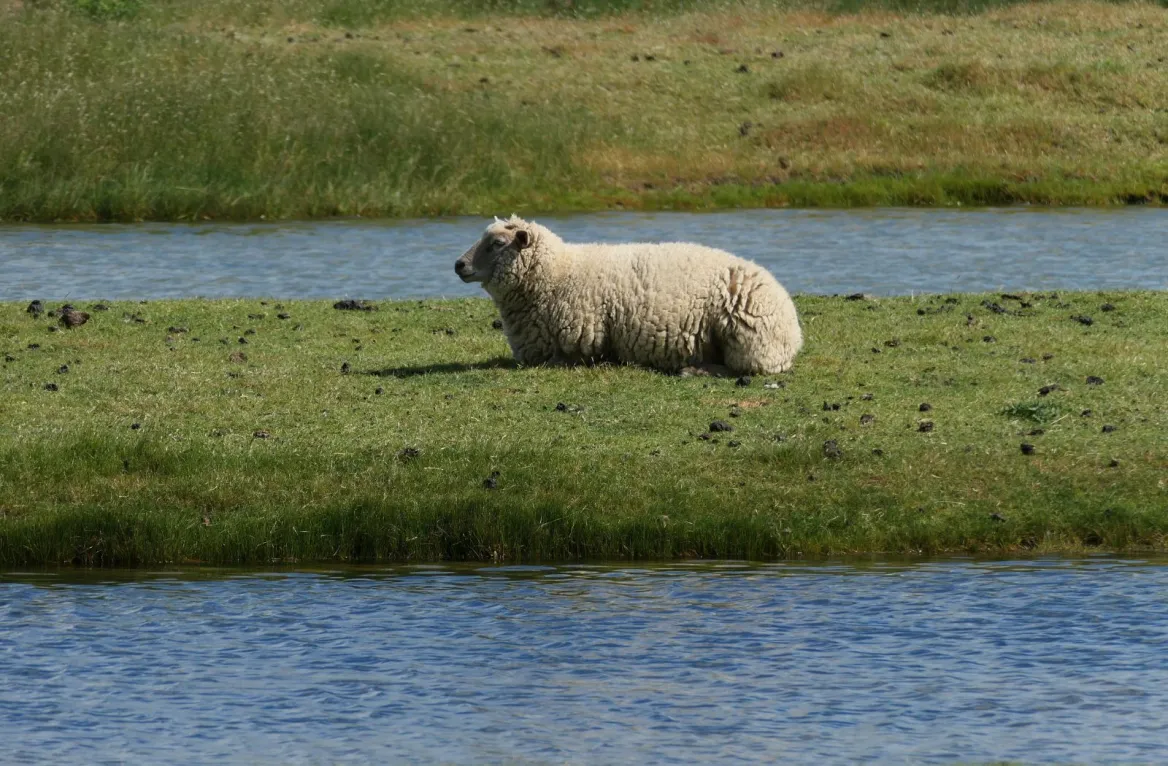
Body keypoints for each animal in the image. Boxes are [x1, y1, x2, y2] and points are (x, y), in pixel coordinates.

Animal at [454, 216, 803, 375]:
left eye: (498, 244)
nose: (459, 265)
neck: (558, 272)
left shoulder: (581, 339)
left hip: (751, 341)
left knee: (744, 368)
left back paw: (694, 369)